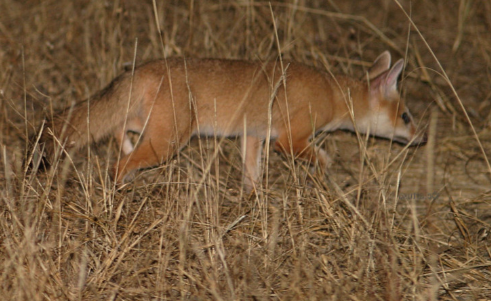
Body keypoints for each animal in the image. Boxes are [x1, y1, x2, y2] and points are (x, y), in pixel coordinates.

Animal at [31, 50, 426, 189]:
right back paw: (119, 190)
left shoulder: (253, 137)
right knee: (118, 163)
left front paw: (253, 199)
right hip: (167, 143)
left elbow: (252, 174)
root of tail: (145, 67)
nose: (422, 138)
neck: (331, 91)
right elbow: (323, 158)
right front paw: (325, 175)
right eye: (407, 116)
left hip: (154, 129)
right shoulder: (289, 140)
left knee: (117, 131)